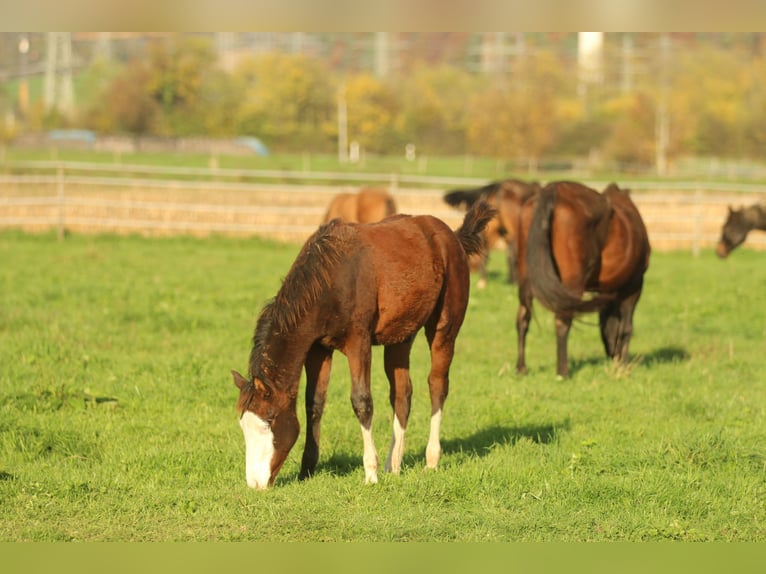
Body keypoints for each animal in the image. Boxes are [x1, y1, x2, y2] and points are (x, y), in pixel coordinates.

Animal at [234, 200, 498, 488]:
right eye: (244, 426)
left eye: (268, 421)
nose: (255, 484)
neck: (328, 277)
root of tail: (453, 237)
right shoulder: (318, 349)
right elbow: (313, 403)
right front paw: (307, 470)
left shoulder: (357, 342)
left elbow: (362, 401)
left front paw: (370, 473)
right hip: (401, 336)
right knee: (402, 393)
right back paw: (393, 464)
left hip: (444, 329)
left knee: (437, 385)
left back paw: (430, 461)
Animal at [516, 183, 656, 378]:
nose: (612, 356)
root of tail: (550, 190)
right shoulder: (634, 286)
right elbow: (626, 328)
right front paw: (623, 365)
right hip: (572, 283)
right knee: (562, 321)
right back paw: (563, 372)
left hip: (526, 280)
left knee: (523, 318)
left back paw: (521, 368)